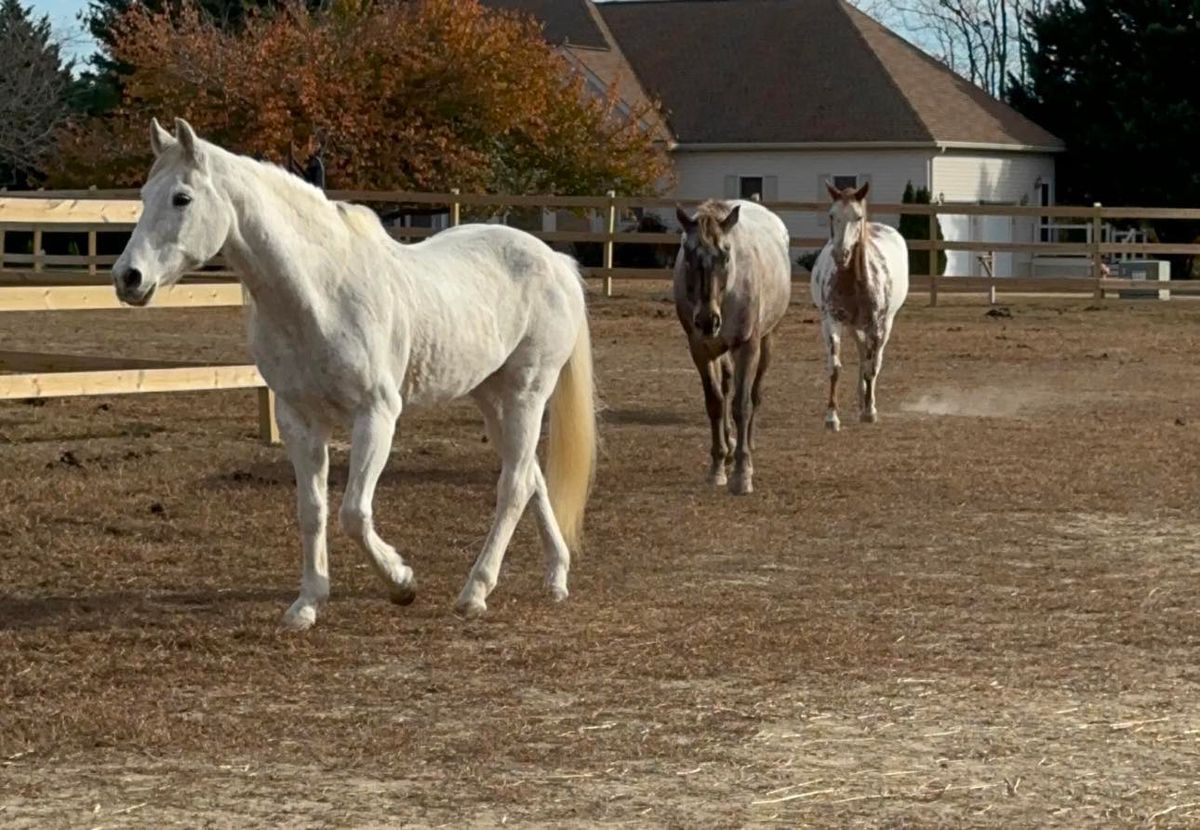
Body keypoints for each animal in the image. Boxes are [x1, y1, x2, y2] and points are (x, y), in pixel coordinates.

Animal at [114, 119, 592, 623]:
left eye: (181, 197)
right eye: (144, 194)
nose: (127, 277)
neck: (320, 294)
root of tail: (555, 261)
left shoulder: (376, 415)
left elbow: (353, 513)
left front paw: (402, 582)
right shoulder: (298, 418)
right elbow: (312, 510)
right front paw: (307, 603)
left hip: (526, 392)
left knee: (514, 486)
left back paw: (476, 591)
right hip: (490, 396)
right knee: (531, 476)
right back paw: (556, 575)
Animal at [811, 181, 912, 426]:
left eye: (858, 217)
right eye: (832, 215)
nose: (841, 254)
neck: (853, 283)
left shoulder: (876, 326)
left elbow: (871, 367)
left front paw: (869, 412)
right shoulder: (831, 322)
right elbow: (835, 367)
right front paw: (832, 416)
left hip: (885, 325)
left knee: (874, 360)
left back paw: (868, 403)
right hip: (854, 326)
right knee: (860, 352)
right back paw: (859, 398)